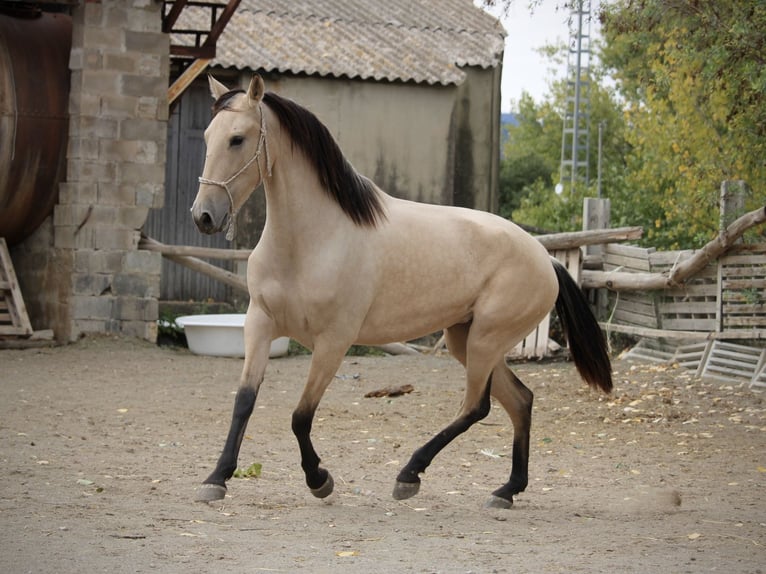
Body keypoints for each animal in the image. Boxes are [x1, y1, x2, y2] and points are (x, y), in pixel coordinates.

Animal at [194, 74, 616, 510]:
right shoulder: (259, 324)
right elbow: (244, 401)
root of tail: (545, 259)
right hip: (466, 339)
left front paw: (319, 480)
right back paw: (507, 489)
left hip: (485, 340)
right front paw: (216, 479)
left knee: (476, 406)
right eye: (208, 136)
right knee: (520, 400)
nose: (204, 216)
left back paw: (410, 475)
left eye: (238, 139)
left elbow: (301, 415)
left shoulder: (333, 342)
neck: (311, 242)